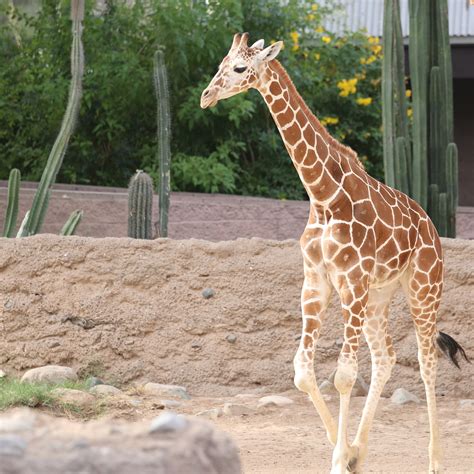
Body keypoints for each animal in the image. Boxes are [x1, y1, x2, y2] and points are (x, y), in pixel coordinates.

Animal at [199, 31, 466, 472]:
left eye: (239, 67)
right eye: (220, 63)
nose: (206, 96)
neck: (324, 195)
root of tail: (430, 226)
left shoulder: (351, 283)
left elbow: (343, 375)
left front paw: (340, 458)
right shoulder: (316, 283)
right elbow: (303, 372)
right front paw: (346, 453)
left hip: (423, 288)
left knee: (427, 361)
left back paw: (435, 461)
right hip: (378, 297)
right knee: (386, 357)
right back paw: (361, 448)